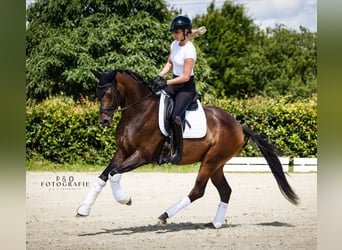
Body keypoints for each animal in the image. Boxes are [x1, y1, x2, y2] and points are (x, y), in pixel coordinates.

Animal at [76, 68, 298, 229]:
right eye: (97, 93)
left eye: (109, 92)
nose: (104, 121)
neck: (138, 111)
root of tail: (238, 125)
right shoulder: (122, 152)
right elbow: (103, 176)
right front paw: (83, 209)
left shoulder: (143, 155)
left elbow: (114, 173)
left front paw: (125, 199)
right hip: (216, 164)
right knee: (225, 190)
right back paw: (216, 223)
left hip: (211, 161)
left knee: (198, 190)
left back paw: (165, 215)